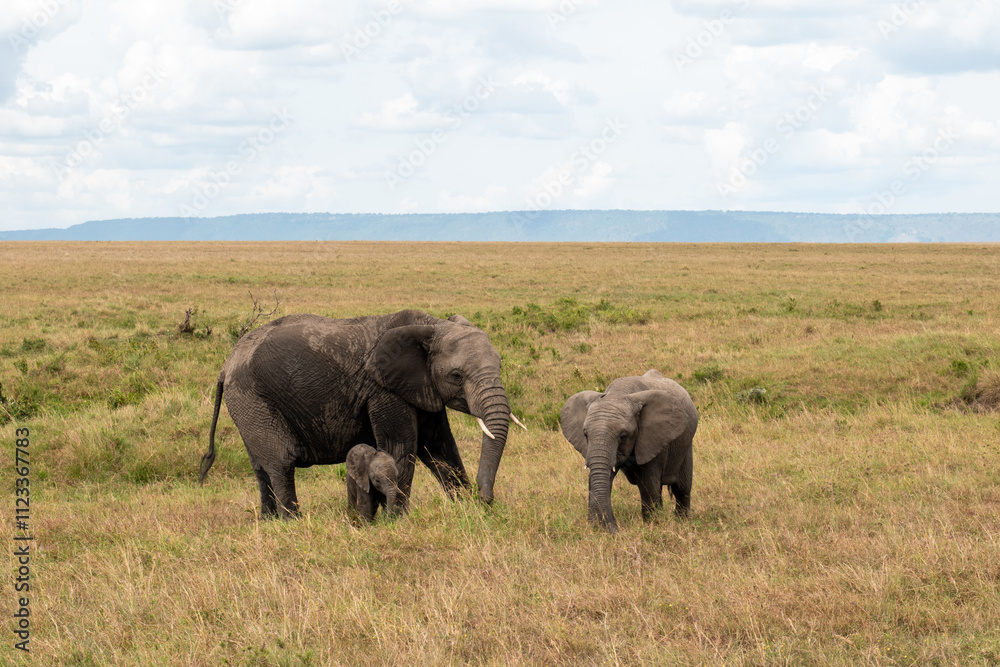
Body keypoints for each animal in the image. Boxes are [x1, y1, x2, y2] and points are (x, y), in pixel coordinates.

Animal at [199, 309, 525, 518]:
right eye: (456, 376)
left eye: (499, 363)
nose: (486, 499)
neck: (431, 325)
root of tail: (226, 365)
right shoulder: (383, 390)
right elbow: (402, 447)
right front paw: (398, 520)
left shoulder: (421, 387)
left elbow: (441, 447)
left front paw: (464, 508)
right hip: (252, 399)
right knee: (281, 462)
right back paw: (292, 522)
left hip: (248, 404)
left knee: (261, 467)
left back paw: (269, 522)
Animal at [560, 369, 697, 533]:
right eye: (585, 434)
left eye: (623, 436)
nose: (615, 529)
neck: (618, 393)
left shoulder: (653, 439)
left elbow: (648, 484)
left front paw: (652, 526)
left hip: (686, 443)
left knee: (682, 488)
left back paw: (682, 522)